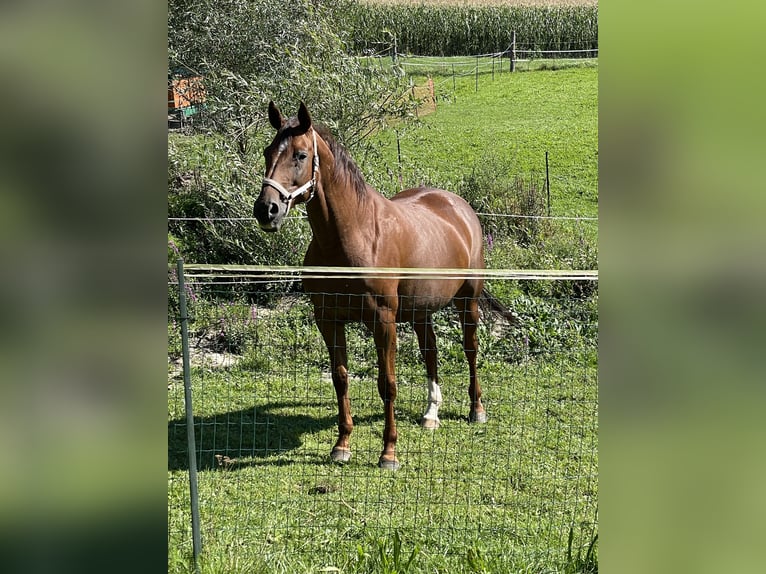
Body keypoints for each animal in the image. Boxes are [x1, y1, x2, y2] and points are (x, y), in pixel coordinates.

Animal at [254, 101, 501, 471]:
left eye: (300, 155)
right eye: (268, 152)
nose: (266, 210)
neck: (353, 236)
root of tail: (457, 206)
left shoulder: (382, 321)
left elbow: (388, 384)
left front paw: (389, 453)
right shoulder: (328, 319)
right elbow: (340, 378)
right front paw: (341, 445)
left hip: (466, 302)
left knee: (471, 349)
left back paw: (476, 410)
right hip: (420, 311)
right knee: (431, 352)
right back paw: (431, 413)